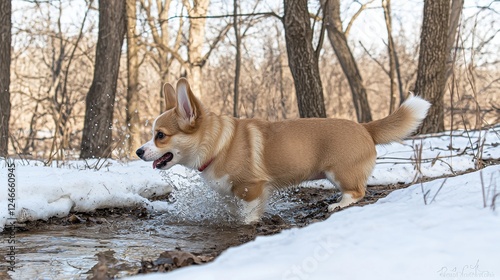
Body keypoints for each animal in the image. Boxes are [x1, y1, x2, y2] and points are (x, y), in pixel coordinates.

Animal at [136, 78, 430, 223]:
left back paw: (337, 204)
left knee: (357, 192)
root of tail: (365, 128)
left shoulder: (252, 188)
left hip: (339, 172)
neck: (218, 144)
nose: (138, 151)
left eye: (160, 136)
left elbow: (248, 216)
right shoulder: (230, 192)